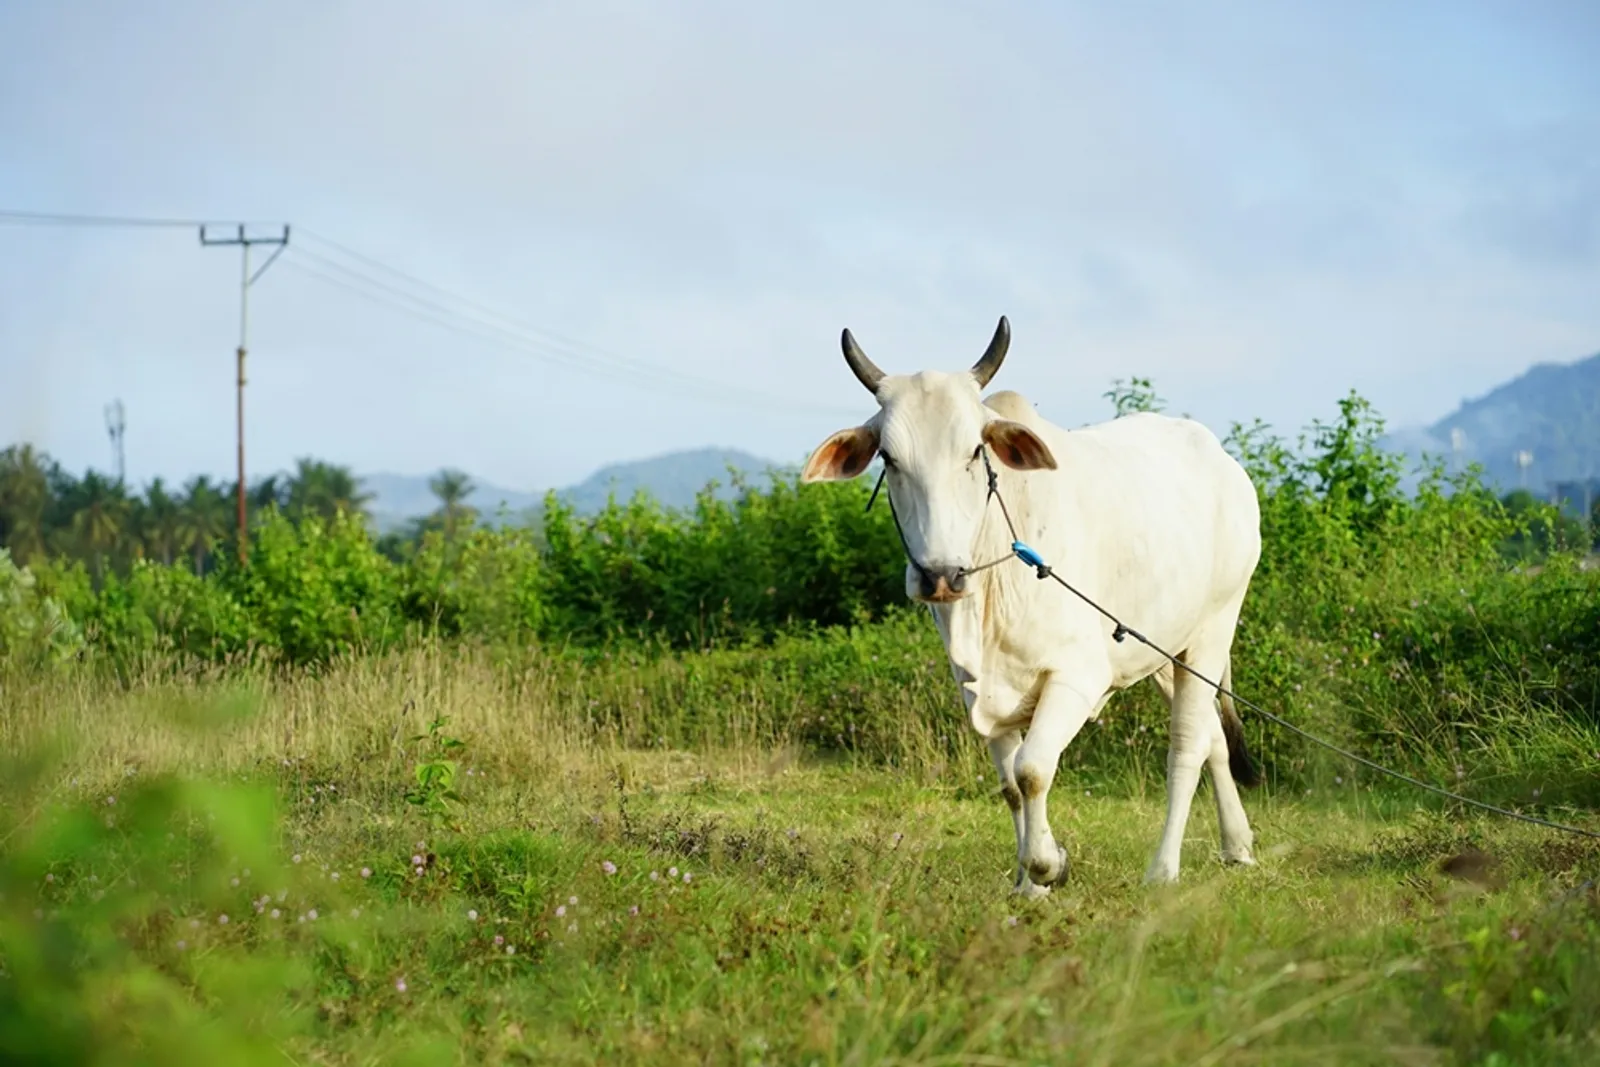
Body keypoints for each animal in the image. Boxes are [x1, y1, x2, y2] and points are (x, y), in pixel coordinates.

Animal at [800, 316, 1260, 895]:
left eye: (975, 452)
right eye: (889, 457)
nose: (941, 576)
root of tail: (1223, 462)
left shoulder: (1076, 677)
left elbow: (1034, 770)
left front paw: (1048, 864)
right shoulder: (977, 690)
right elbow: (1011, 785)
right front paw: (1028, 882)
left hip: (1214, 630)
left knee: (1188, 746)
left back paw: (1163, 869)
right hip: (1162, 650)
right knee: (1214, 739)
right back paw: (1238, 845)